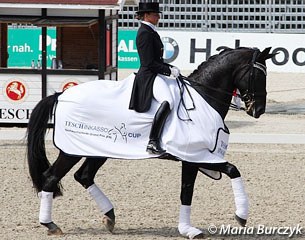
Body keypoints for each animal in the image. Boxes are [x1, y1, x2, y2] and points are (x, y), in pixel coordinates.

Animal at [26, 47, 274, 238]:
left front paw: (188, 228)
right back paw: (50, 225)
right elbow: (222, 175)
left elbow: (193, 188)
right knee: (51, 177)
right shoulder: (195, 156)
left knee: (84, 176)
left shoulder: (198, 158)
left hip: (98, 149)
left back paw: (109, 217)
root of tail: (60, 95)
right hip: (72, 151)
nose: (259, 110)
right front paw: (239, 216)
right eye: (258, 76)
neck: (203, 97)